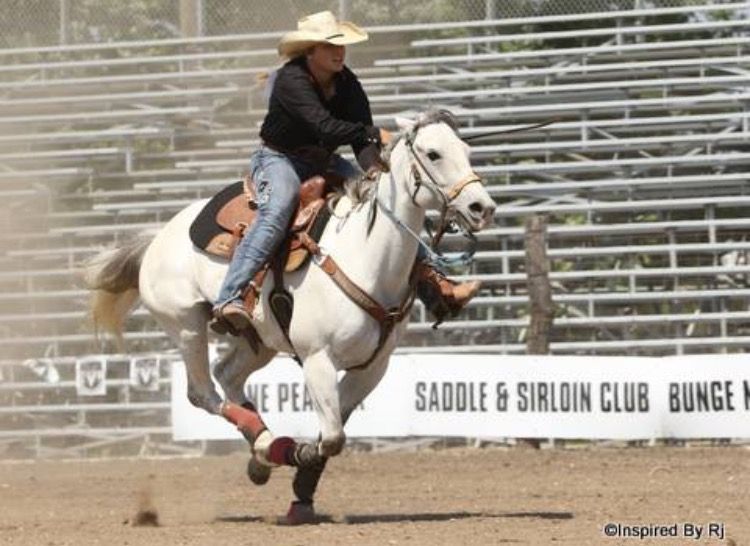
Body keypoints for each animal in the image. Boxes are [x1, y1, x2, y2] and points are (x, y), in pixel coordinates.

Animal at [85, 109, 496, 523]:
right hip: (186, 326)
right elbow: (332, 439)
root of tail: (156, 238)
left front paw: (301, 497)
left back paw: (260, 454)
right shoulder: (317, 359)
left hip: (258, 340)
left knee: (227, 376)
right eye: (433, 153)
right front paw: (298, 457)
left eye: (465, 150)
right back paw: (271, 445)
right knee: (202, 392)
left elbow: (333, 431)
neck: (363, 256)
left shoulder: (372, 367)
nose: (482, 207)